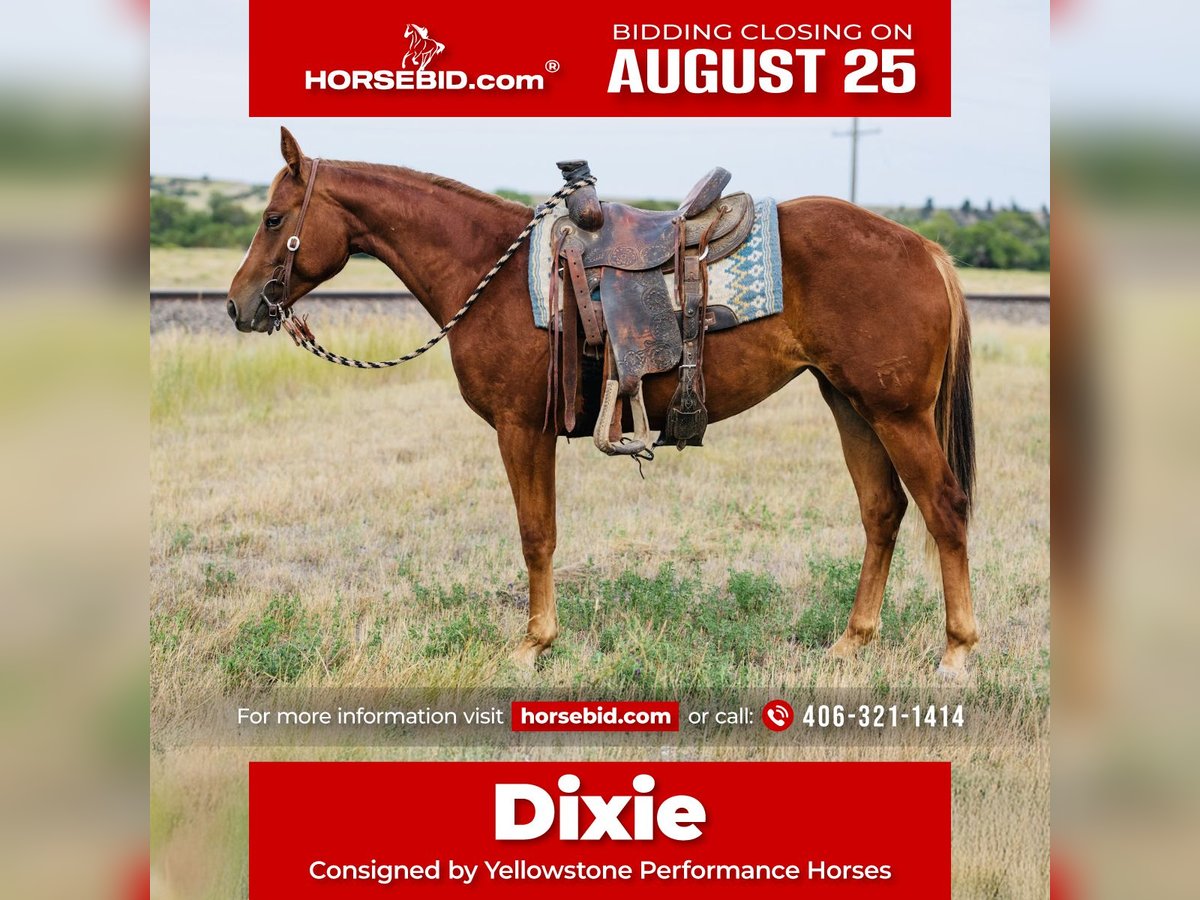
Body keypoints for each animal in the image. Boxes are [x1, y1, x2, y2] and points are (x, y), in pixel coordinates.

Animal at [226, 127, 979, 678]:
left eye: (272, 218)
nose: (237, 305)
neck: (489, 272)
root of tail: (927, 250)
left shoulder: (521, 429)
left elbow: (537, 534)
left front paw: (534, 643)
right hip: (850, 404)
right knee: (882, 511)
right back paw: (853, 641)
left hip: (898, 415)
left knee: (944, 509)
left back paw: (956, 651)